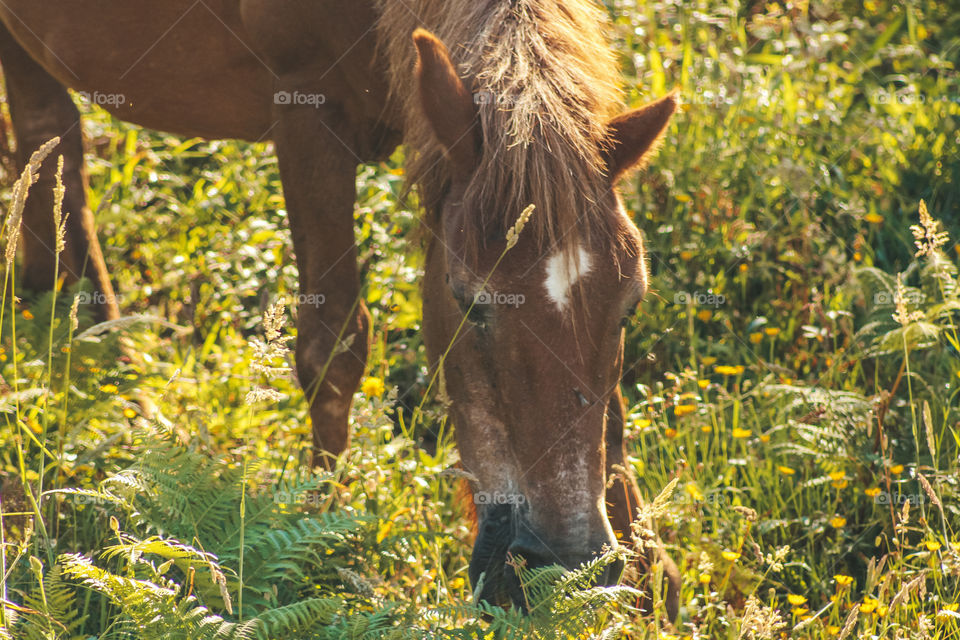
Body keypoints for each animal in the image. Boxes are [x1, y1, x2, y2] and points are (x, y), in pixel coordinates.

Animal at [3, 0, 688, 616]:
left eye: (630, 308)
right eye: (469, 304)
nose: (562, 563)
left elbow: (612, 408)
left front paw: (651, 570)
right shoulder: (307, 117)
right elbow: (333, 345)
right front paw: (318, 537)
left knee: (48, 142)